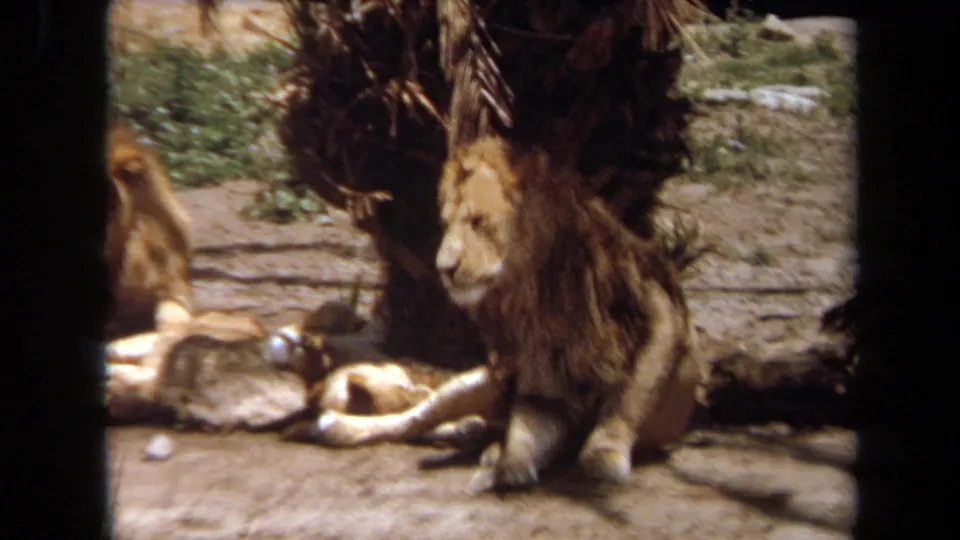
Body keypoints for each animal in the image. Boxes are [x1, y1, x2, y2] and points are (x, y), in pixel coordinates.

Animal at [302, 136, 703, 492]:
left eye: (478, 222)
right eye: (448, 224)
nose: (444, 268)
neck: (543, 291)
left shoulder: (659, 314)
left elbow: (631, 394)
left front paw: (604, 454)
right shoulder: (543, 382)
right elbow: (526, 433)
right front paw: (506, 464)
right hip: (476, 382)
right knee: (417, 418)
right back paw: (343, 427)